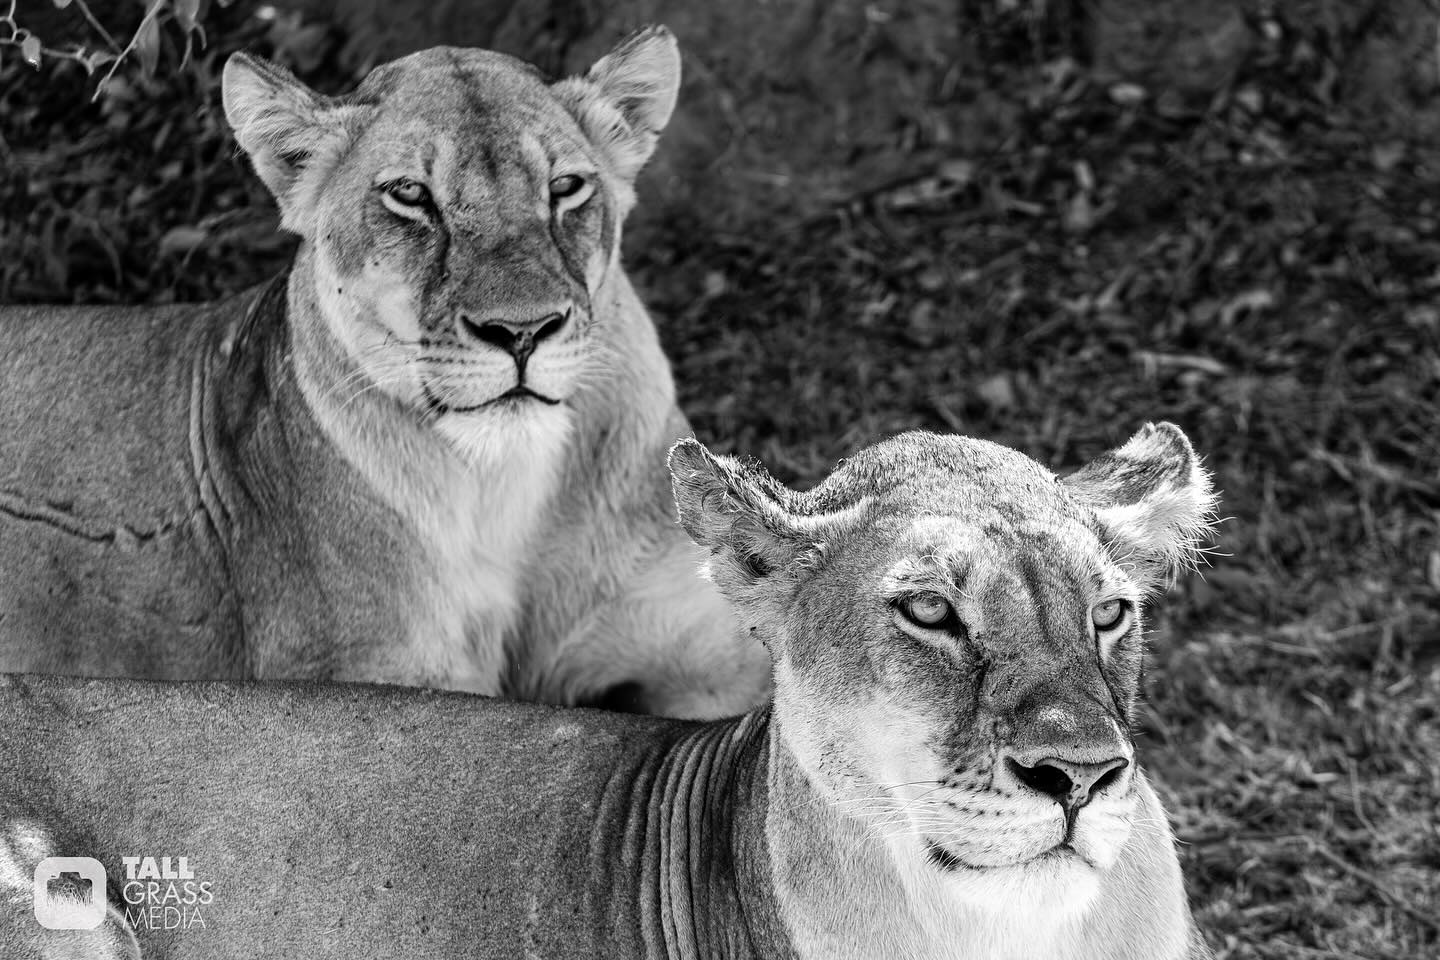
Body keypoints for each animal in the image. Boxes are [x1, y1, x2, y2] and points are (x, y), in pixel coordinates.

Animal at [0, 27, 769, 718]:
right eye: (409, 195)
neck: (507, 493)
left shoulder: (715, 663)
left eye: (567, 187)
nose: (521, 331)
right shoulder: (371, 679)